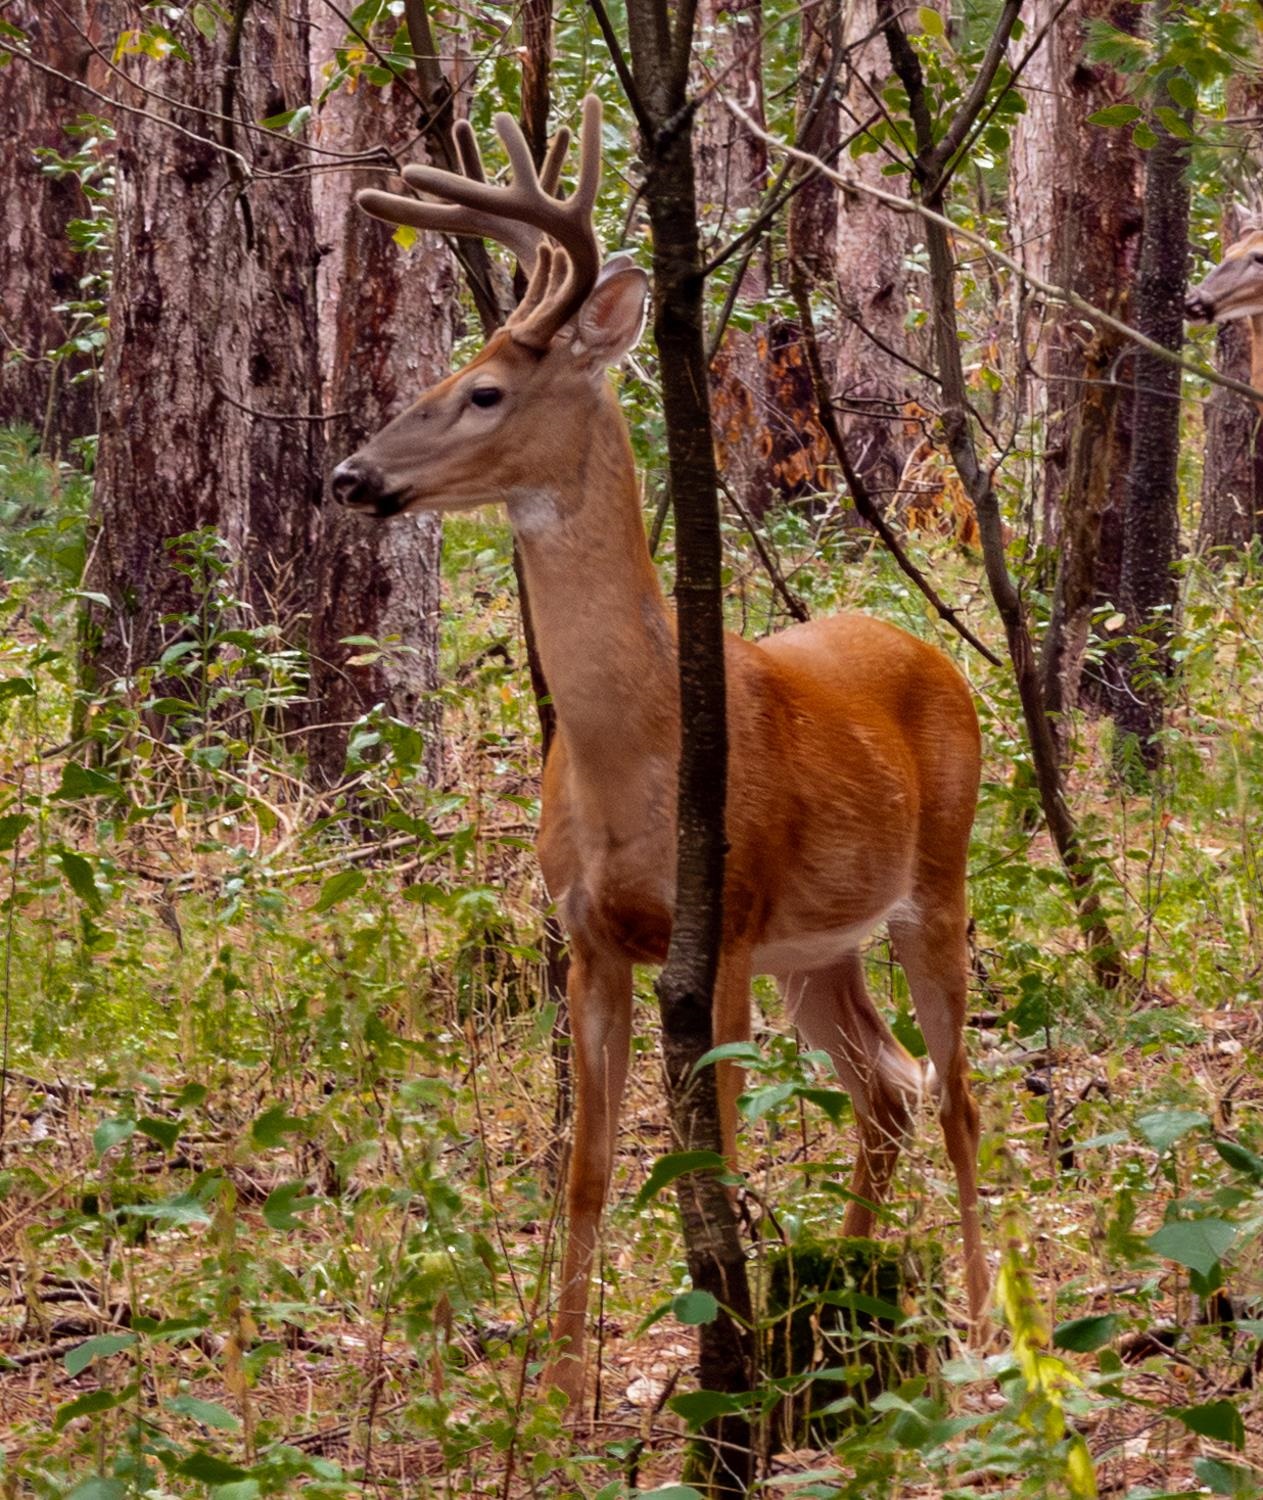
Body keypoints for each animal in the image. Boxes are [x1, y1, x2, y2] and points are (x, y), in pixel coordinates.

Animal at [330, 96, 988, 1407]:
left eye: (485, 391)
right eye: (436, 373)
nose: (351, 474)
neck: (629, 756)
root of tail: (926, 650)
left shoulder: (717, 924)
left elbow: (712, 1157)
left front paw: (720, 1370)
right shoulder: (587, 934)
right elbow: (586, 1169)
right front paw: (558, 1388)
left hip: (933, 884)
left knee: (954, 1100)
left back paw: (996, 1329)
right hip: (817, 949)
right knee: (888, 1090)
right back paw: (846, 1301)